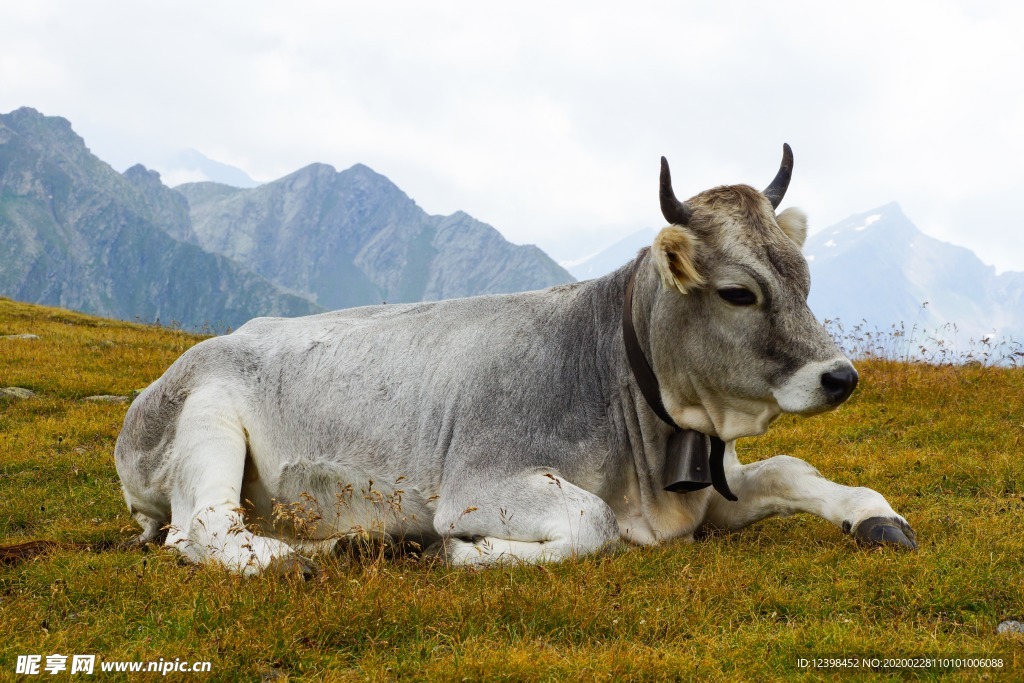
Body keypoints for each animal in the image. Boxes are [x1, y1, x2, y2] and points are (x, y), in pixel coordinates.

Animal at [116, 145, 917, 577]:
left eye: (803, 277)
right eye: (738, 293)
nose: (841, 376)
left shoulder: (706, 492)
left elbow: (791, 470)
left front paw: (874, 514)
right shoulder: (481, 481)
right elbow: (592, 524)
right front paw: (460, 552)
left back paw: (351, 537)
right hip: (206, 422)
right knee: (203, 528)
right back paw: (311, 556)